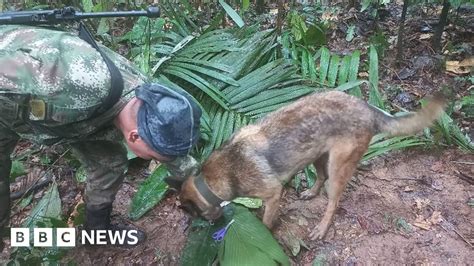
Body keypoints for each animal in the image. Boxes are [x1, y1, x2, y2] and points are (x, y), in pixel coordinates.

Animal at [176, 91, 446, 239]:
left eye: (194, 214)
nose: (211, 226)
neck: (212, 178)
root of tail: (368, 108)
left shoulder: (273, 194)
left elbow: (266, 221)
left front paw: (264, 233)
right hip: (317, 154)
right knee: (321, 177)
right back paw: (310, 192)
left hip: (338, 168)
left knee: (333, 201)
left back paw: (322, 228)